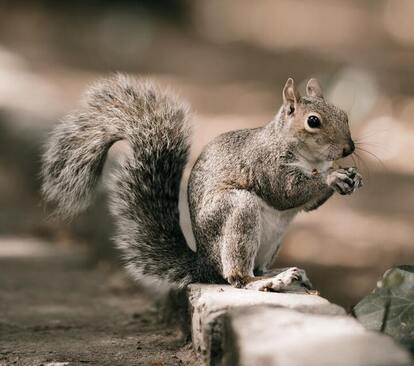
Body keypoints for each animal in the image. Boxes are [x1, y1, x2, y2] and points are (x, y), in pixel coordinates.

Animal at [41, 73, 362, 292]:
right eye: (313, 121)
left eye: (345, 115)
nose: (349, 148)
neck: (309, 159)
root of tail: (204, 264)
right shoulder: (264, 164)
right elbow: (285, 191)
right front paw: (332, 177)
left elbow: (306, 205)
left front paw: (350, 177)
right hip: (238, 213)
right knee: (237, 277)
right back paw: (263, 281)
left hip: (272, 240)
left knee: (257, 268)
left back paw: (279, 274)